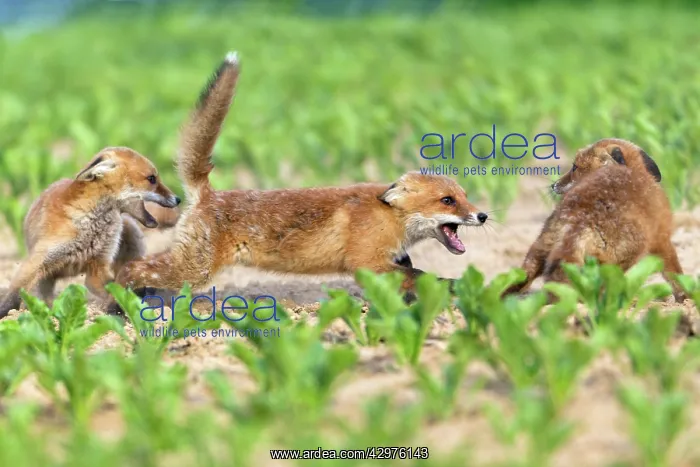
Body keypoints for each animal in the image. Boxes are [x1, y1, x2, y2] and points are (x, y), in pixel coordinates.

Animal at [0, 146, 182, 319]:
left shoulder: (97, 266)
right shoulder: (38, 260)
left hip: (131, 234)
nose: (178, 199)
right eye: (152, 179)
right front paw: (7, 314)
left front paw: (120, 308)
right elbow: (14, 294)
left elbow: (115, 288)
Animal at [105, 52, 488, 314]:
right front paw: (458, 290)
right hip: (193, 269)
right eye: (447, 201)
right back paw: (118, 307)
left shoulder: (391, 262)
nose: (483, 216)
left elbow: (410, 277)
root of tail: (206, 194)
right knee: (133, 269)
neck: (389, 216)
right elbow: (425, 276)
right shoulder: (367, 263)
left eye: (465, 196)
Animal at [502, 137, 687, 302]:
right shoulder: (662, 239)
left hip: (540, 250)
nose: (553, 185)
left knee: (520, 280)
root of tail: (579, 219)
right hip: (619, 261)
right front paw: (686, 299)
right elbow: (674, 273)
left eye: (574, 167)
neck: (638, 172)